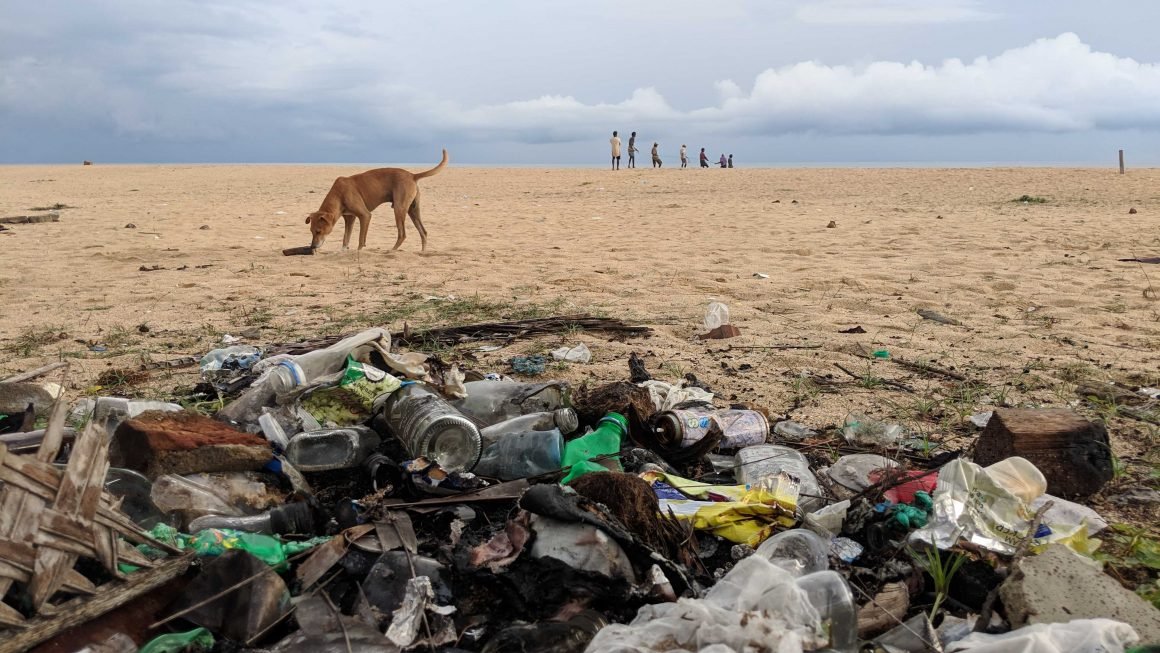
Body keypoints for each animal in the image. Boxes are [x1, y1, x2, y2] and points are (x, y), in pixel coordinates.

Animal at [303, 149, 447, 251]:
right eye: (311, 231)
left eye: (318, 231)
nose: (312, 247)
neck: (339, 194)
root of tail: (412, 175)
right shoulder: (350, 219)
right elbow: (345, 238)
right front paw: (343, 250)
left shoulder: (365, 216)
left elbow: (361, 239)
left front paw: (358, 251)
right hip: (413, 211)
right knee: (423, 232)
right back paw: (422, 252)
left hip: (399, 209)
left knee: (402, 234)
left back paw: (392, 250)